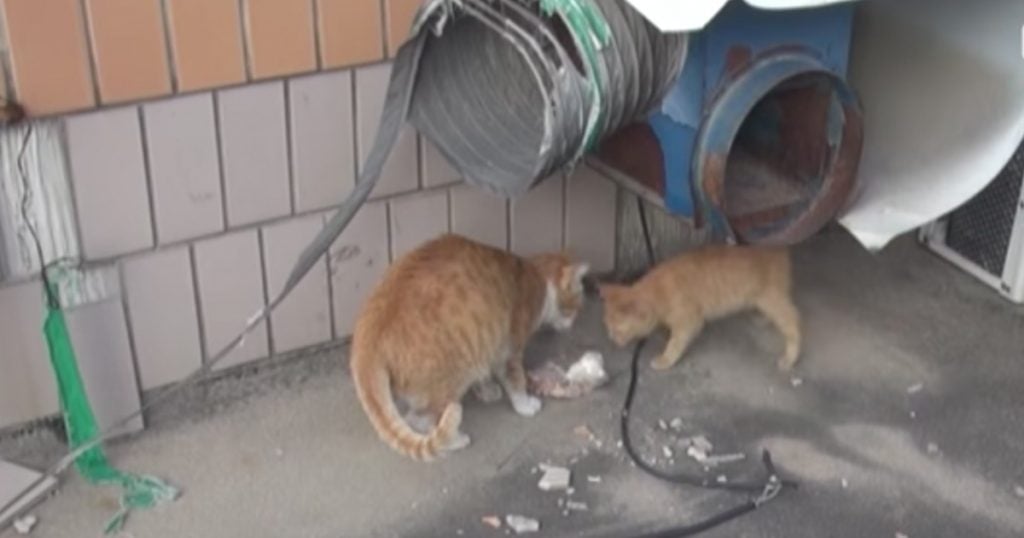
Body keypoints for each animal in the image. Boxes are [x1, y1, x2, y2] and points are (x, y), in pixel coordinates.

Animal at [352, 232, 593, 459]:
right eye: (576, 306)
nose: (573, 323)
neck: (535, 277)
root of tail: (367, 335)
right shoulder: (509, 351)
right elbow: (516, 381)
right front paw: (525, 405)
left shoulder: (486, 345)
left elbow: (485, 374)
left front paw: (486, 390)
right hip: (452, 378)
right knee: (419, 420)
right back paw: (456, 439)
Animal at [598, 244, 798, 370]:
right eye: (607, 327)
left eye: (617, 330)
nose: (611, 339)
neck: (659, 292)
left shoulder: (690, 321)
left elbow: (675, 343)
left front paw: (665, 359)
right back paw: (763, 319)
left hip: (772, 298)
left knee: (794, 322)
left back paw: (790, 357)